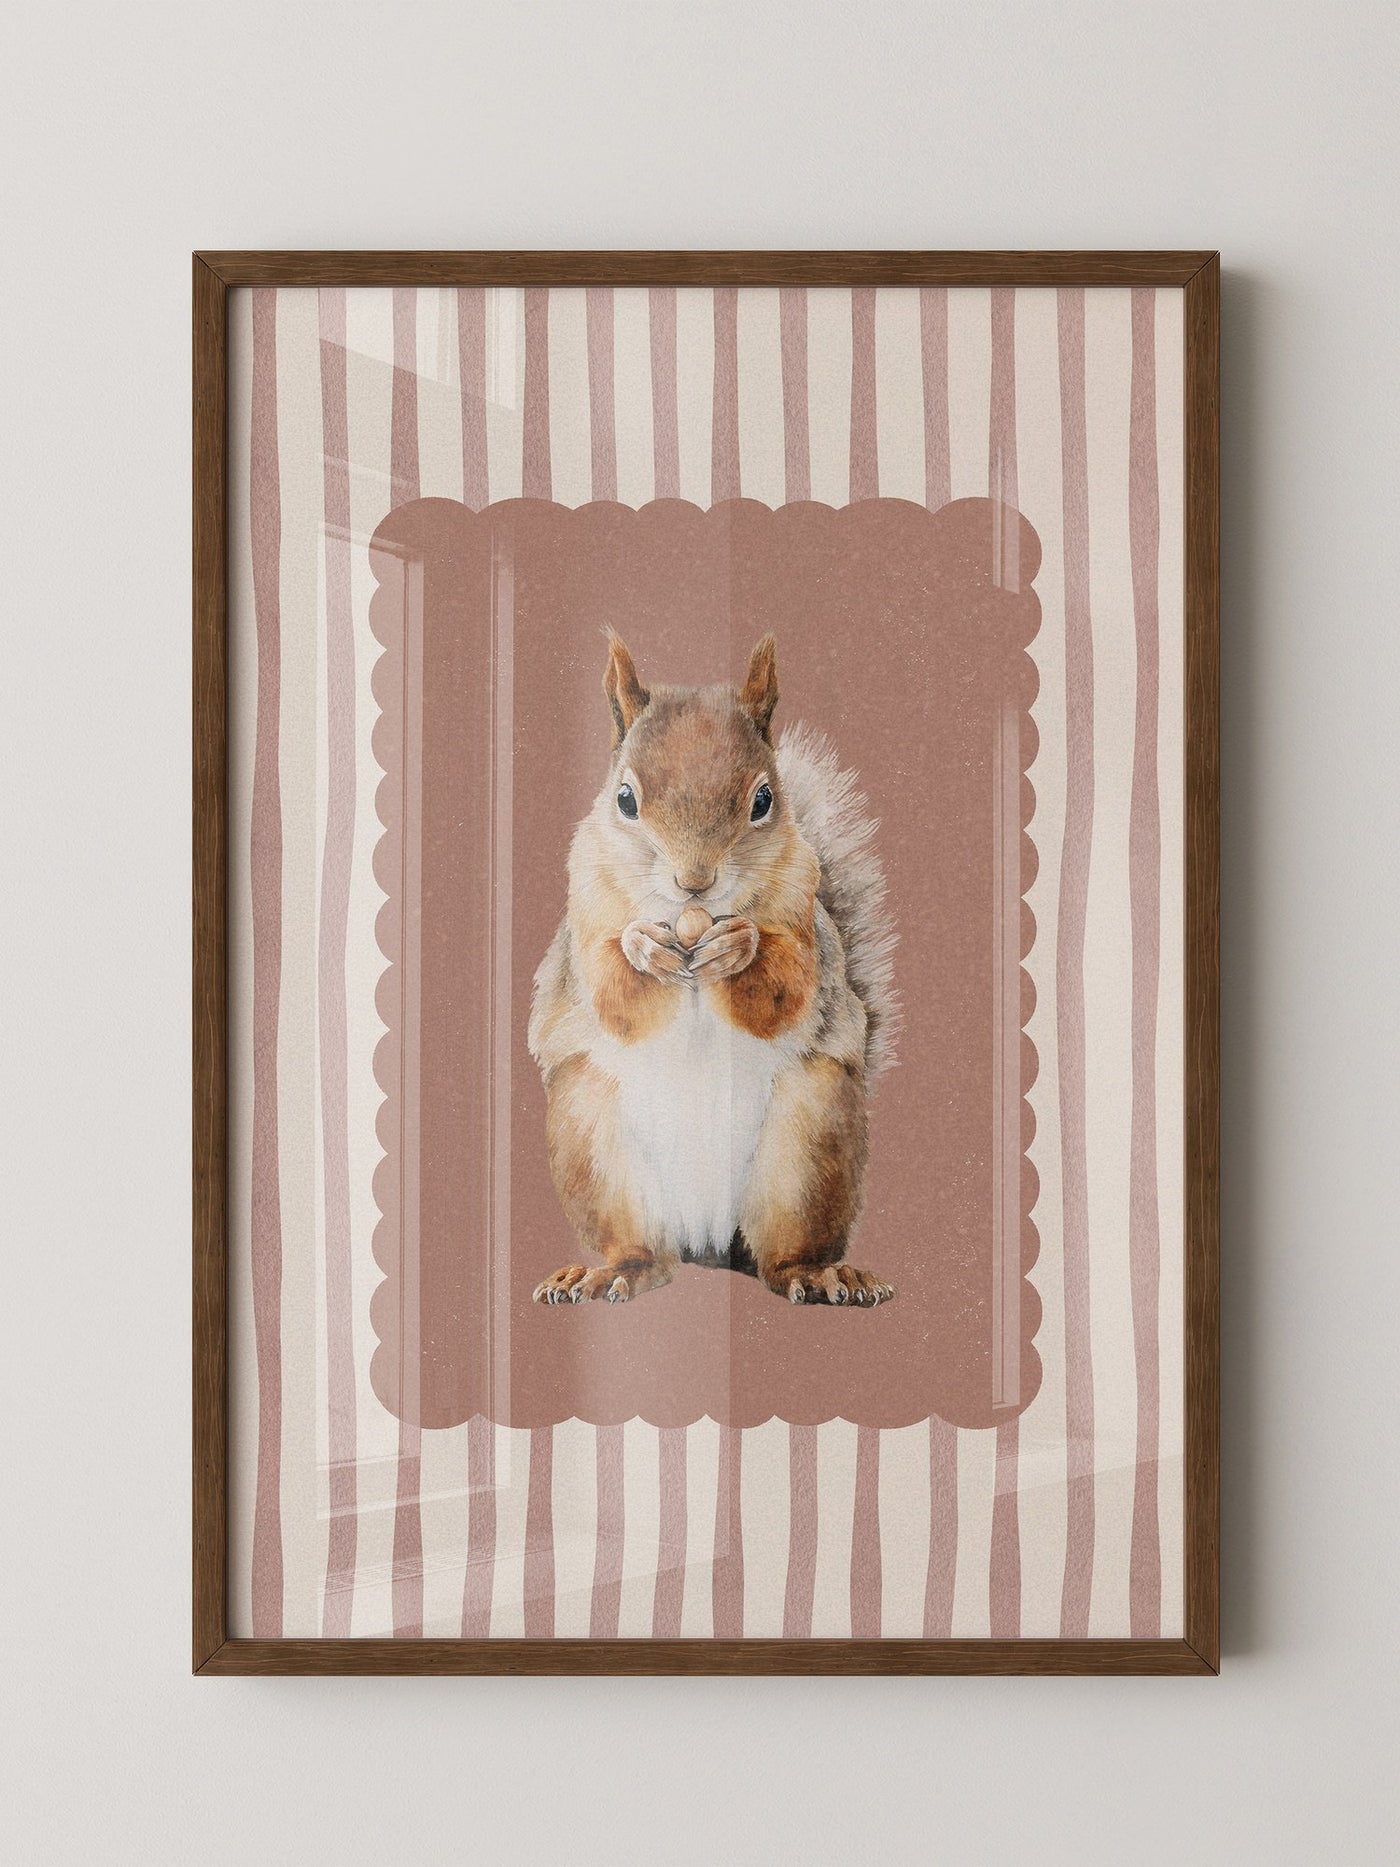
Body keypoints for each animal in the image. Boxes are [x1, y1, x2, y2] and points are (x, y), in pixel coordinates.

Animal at [528, 632, 899, 1308]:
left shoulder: (803, 910)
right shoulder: (586, 905)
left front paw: (739, 946)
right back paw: (613, 1272)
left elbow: (787, 986)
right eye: (625, 799)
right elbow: (611, 993)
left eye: (764, 799)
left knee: (780, 1254)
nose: (694, 882)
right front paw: (641, 947)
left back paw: (817, 1274)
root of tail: (704, 1240)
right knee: (643, 1249)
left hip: (810, 1142)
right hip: (591, 1135)